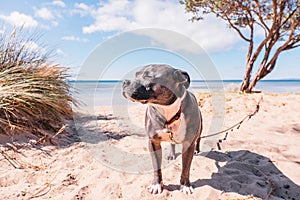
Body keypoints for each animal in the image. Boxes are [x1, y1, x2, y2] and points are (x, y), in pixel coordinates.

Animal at [123, 63, 203, 194]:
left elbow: (186, 168)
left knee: (199, 139)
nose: (125, 82)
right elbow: (156, 167)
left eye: (148, 76)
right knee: (172, 143)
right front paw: (156, 184)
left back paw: (197, 149)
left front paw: (185, 185)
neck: (167, 111)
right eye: (136, 74)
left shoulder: (188, 144)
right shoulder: (153, 142)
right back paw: (171, 154)